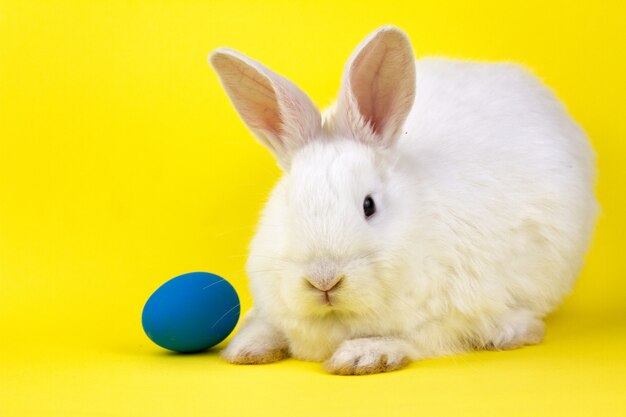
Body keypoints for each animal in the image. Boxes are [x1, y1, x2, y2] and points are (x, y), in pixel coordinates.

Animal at [208, 27, 596, 376]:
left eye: (369, 206)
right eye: (289, 205)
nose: (324, 280)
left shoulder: (449, 318)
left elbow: (416, 338)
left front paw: (363, 356)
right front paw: (246, 348)